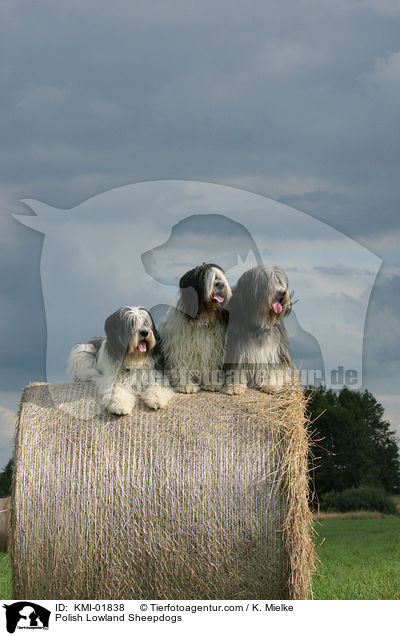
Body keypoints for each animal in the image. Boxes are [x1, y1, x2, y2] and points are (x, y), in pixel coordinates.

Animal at [159, 260, 231, 390]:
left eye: (219, 277)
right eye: (207, 278)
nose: (220, 284)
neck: (202, 315)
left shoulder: (212, 348)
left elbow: (210, 365)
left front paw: (212, 382)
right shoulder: (180, 347)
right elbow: (182, 364)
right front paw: (186, 385)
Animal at [223, 264, 296, 392]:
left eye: (280, 282)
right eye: (268, 283)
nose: (282, 292)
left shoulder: (273, 348)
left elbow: (272, 367)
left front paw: (271, 384)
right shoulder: (236, 349)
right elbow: (236, 369)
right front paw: (235, 386)